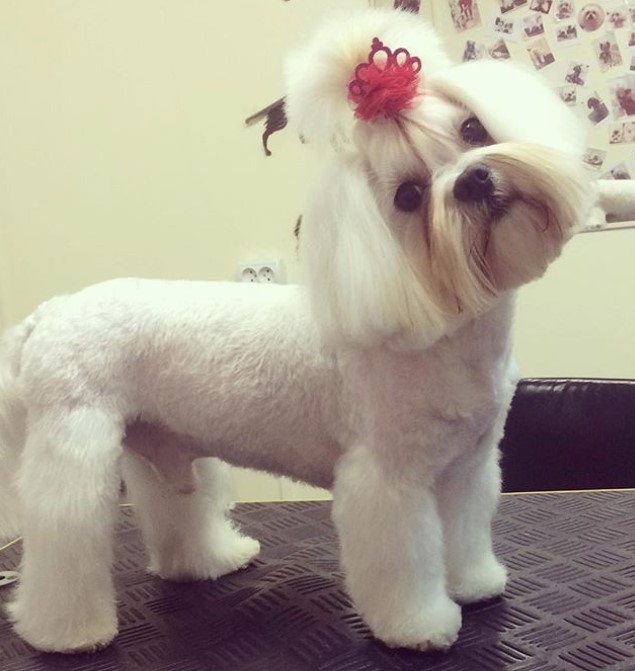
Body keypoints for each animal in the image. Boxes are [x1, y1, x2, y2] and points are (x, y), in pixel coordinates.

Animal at [0, 7, 596, 652]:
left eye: (472, 128)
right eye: (409, 196)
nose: (473, 180)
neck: (447, 333)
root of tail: (50, 312)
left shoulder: (468, 466)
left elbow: (463, 533)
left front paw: (474, 583)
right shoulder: (387, 480)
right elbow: (405, 560)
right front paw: (419, 625)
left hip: (158, 442)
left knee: (176, 512)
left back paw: (212, 559)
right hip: (74, 451)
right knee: (63, 537)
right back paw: (66, 631)